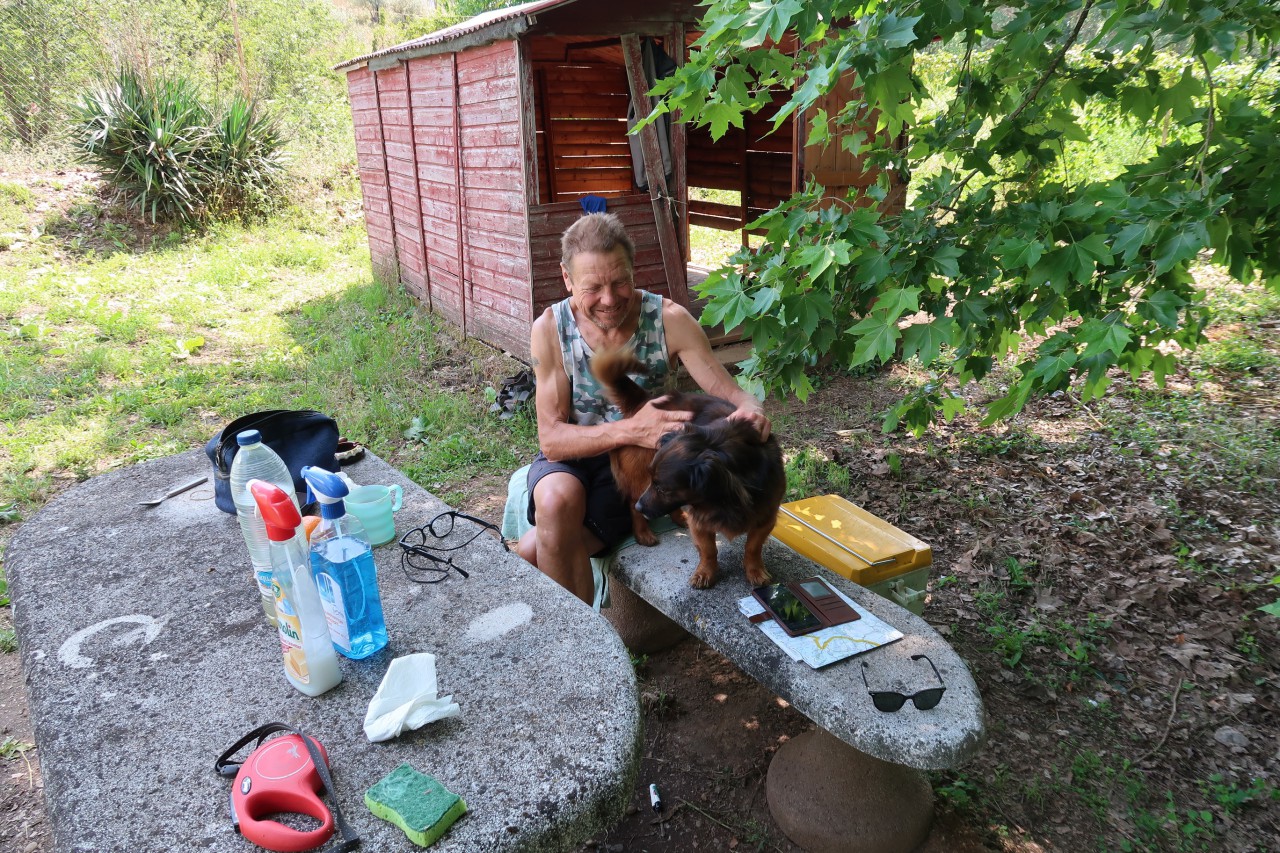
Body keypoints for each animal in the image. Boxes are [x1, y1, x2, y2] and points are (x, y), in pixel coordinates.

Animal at [591, 345, 788, 584]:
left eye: (664, 489)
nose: (641, 506)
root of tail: (645, 400)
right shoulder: (700, 521)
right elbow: (708, 550)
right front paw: (706, 573)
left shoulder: (765, 517)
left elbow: (753, 547)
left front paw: (755, 570)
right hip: (639, 479)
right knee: (631, 501)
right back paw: (643, 532)